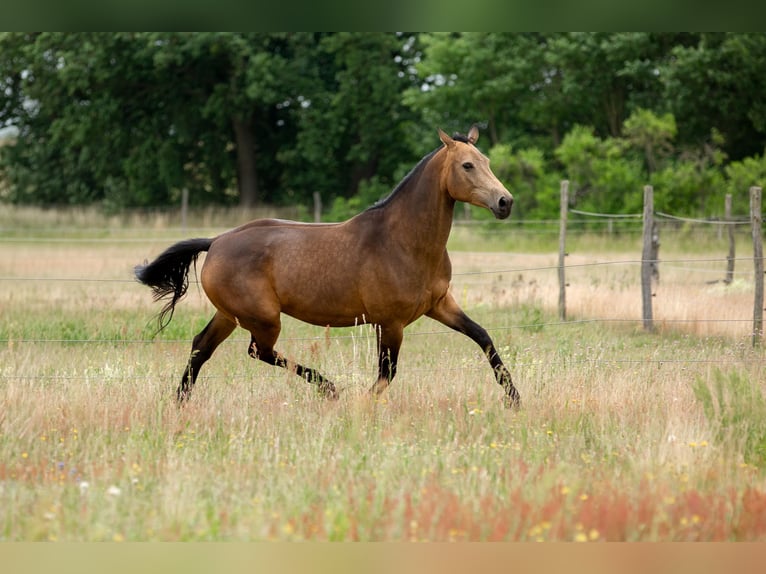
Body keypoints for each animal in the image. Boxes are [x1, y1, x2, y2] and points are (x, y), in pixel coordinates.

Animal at [135, 125, 521, 408]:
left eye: (486, 160)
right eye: (467, 166)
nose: (505, 202)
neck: (403, 241)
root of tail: (216, 242)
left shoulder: (439, 305)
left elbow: (483, 337)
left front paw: (514, 398)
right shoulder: (390, 322)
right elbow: (387, 373)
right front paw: (360, 404)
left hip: (230, 315)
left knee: (201, 347)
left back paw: (180, 402)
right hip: (263, 318)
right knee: (259, 351)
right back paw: (329, 388)